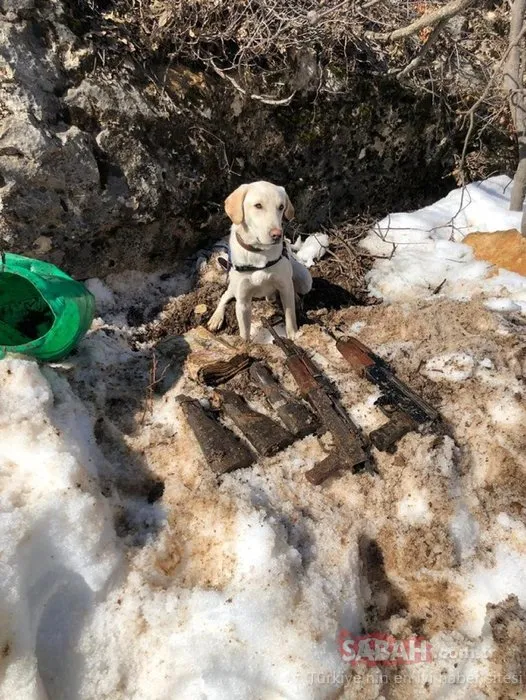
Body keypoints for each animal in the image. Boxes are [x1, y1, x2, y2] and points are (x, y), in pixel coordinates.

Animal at [207, 182, 314, 340]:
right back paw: (216, 317)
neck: (259, 253)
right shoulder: (243, 301)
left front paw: (293, 335)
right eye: (258, 205)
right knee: (224, 296)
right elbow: (244, 332)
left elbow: (290, 316)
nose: (277, 235)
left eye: (281, 206)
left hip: (304, 280)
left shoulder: (285, 286)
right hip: (233, 286)